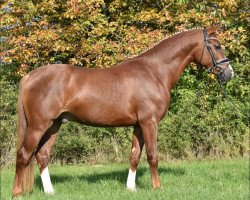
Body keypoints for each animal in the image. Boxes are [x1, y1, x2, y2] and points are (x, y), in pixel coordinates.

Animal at [12, 25, 233, 197]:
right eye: (217, 46)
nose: (228, 73)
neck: (155, 72)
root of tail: (30, 76)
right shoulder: (149, 122)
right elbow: (152, 154)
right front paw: (157, 188)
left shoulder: (138, 124)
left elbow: (135, 155)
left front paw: (131, 188)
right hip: (39, 125)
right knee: (24, 154)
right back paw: (17, 193)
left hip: (55, 125)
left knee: (42, 154)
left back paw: (50, 191)